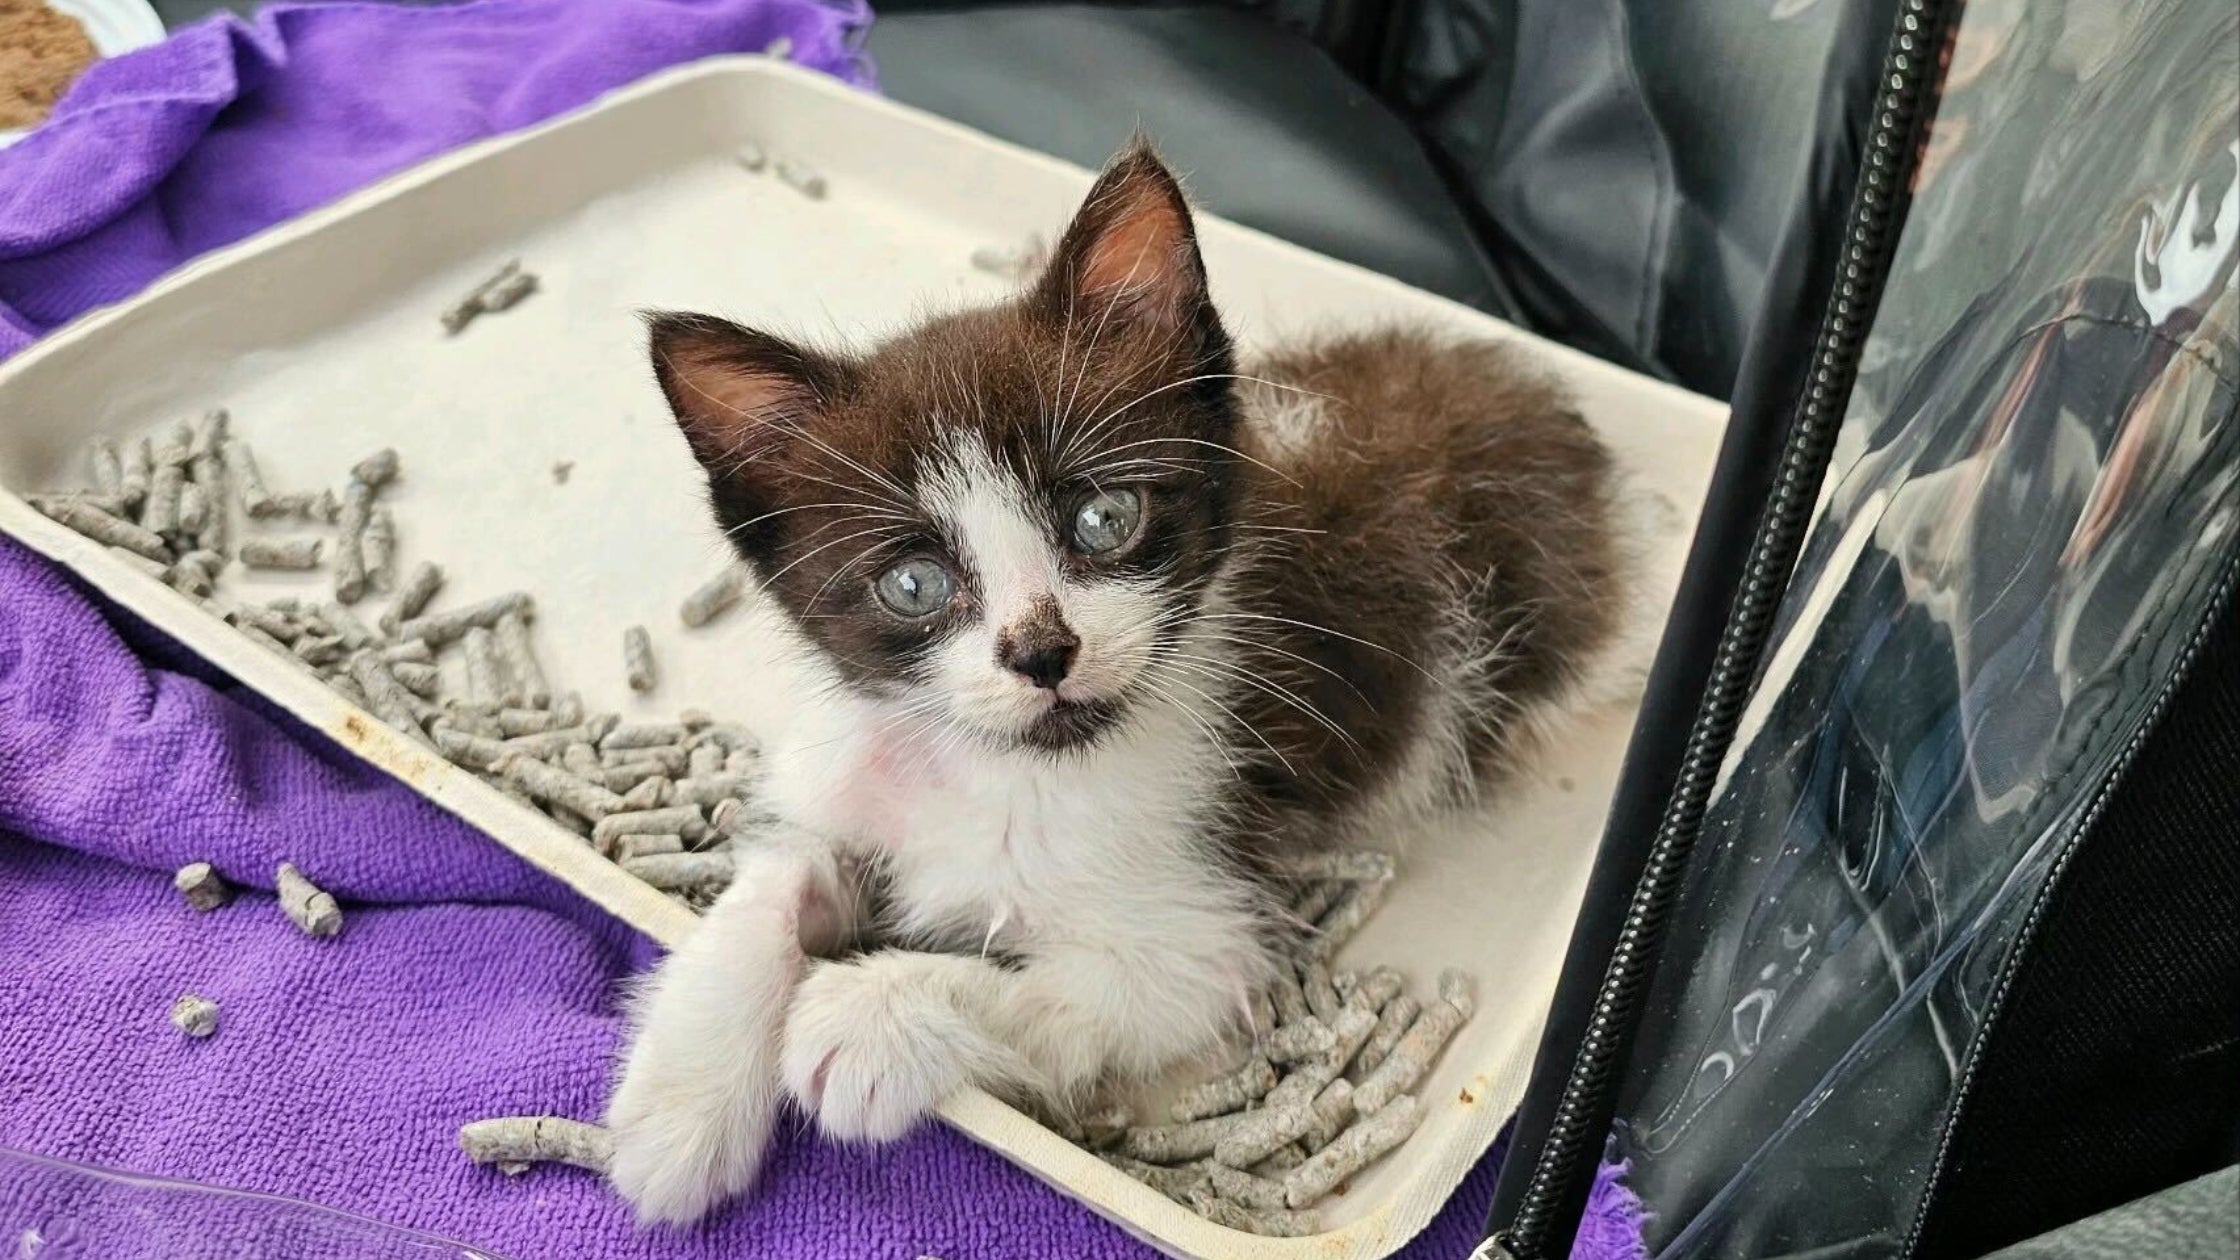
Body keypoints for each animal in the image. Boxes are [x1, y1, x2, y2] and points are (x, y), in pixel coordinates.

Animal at [609, 137, 1630, 1219]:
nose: (1042, 653)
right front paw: (678, 1098)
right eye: (913, 584)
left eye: (1105, 520)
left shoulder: (1209, 922)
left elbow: (1065, 993)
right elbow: (771, 883)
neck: (1003, 766)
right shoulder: (850, 760)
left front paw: (864, 1017)